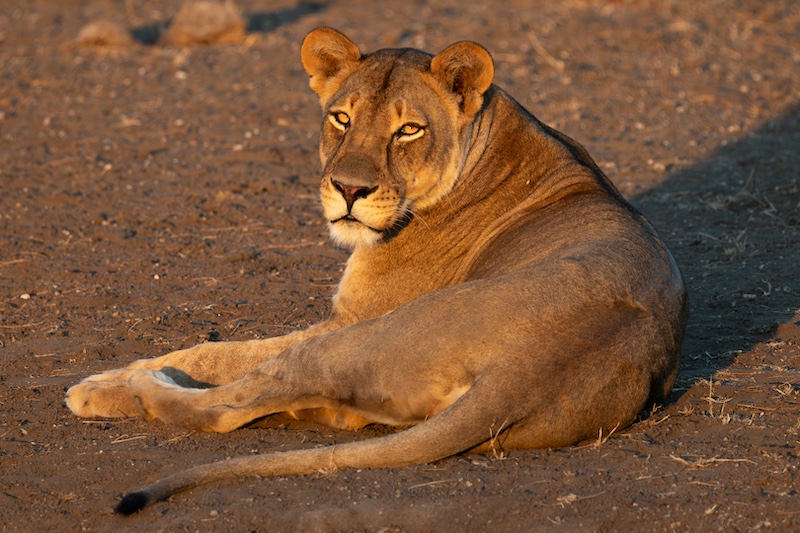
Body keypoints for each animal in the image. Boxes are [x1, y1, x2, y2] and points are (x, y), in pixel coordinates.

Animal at [65, 27, 687, 515]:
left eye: (409, 130)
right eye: (341, 119)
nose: (348, 189)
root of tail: (529, 371)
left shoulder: (349, 316)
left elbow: (216, 354)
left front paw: (107, 380)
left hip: (363, 337)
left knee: (231, 403)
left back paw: (132, 388)